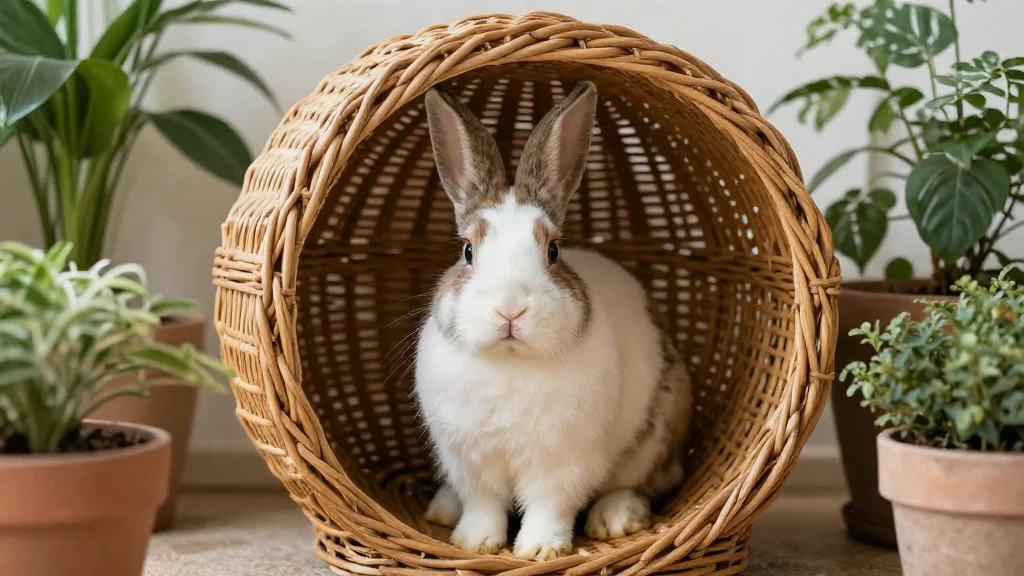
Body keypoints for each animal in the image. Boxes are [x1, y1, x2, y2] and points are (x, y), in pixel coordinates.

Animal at [413, 80, 693, 561]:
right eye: (467, 252)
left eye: (553, 250)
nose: (510, 309)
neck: (510, 362)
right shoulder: (470, 462)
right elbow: (483, 505)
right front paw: (475, 542)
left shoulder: (562, 463)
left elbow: (550, 505)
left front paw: (540, 550)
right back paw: (442, 509)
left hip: (661, 429)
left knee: (644, 483)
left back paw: (616, 519)